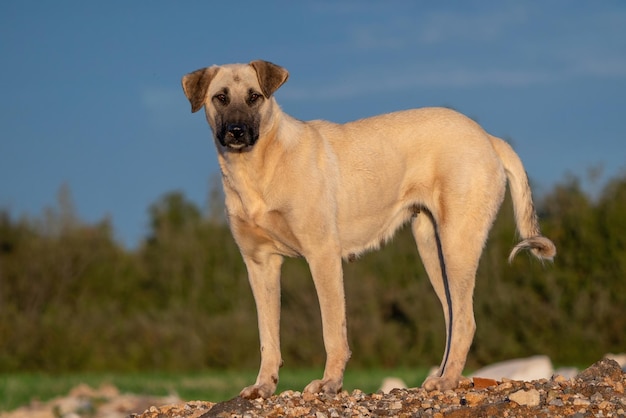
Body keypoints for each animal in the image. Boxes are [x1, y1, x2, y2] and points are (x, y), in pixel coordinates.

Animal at [179, 60, 552, 400]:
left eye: (254, 97)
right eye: (220, 98)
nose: (236, 132)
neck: (259, 167)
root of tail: (487, 137)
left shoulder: (322, 256)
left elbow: (332, 331)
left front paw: (329, 384)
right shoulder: (260, 265)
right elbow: (267, 336)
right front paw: (263, 386)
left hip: (457, 244)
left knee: (465, 320)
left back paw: (446, 382)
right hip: (432, 248)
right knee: (452, 316)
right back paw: (441, 376)